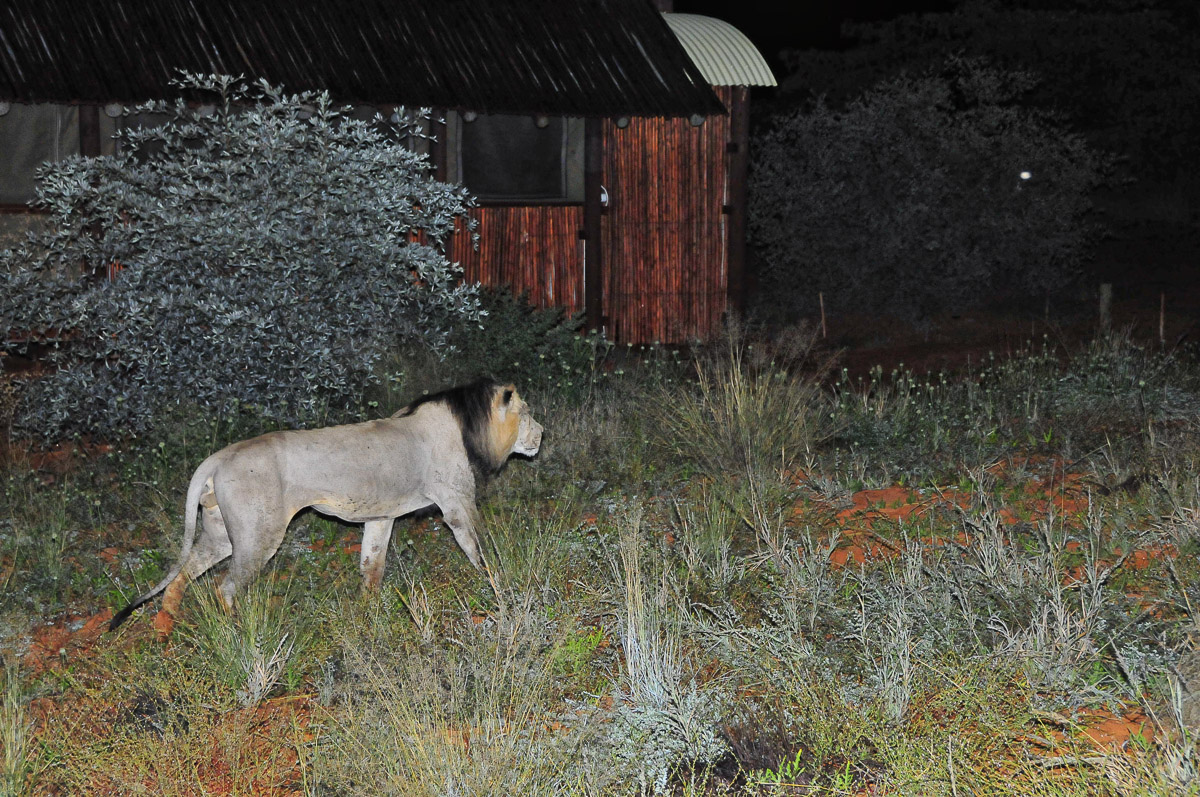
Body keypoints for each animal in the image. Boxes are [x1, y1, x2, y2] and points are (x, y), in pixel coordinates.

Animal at [109, 379, 543, 631]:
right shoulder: (456, 502)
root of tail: (218, 457)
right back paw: (238, 631)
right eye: (526, 414)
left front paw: (370, 615)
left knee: (181, 577)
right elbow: (481, 550)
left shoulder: (381, 517)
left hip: (220, 533)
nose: (542, 433)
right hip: (258, 535)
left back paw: (164, 631)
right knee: (225, 587)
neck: (465, 425)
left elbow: (372, 567)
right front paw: (502, 588)